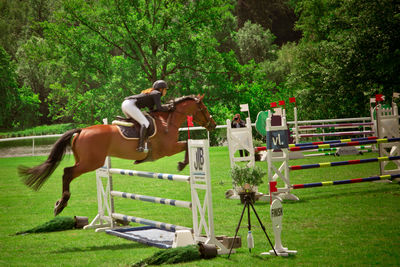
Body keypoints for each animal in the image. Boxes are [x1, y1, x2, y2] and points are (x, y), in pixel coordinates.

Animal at [19, 95, 216, 217]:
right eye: (204, 107)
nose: (213, 125)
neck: (167, 121)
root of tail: (82, 130)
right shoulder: (167, 149)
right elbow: (186, 145)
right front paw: (182, 164)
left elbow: (186, 145)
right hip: (91, 162)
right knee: (67, 172)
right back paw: (61, 204)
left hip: (85, 160)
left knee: (68, 172)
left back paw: (60, 204)